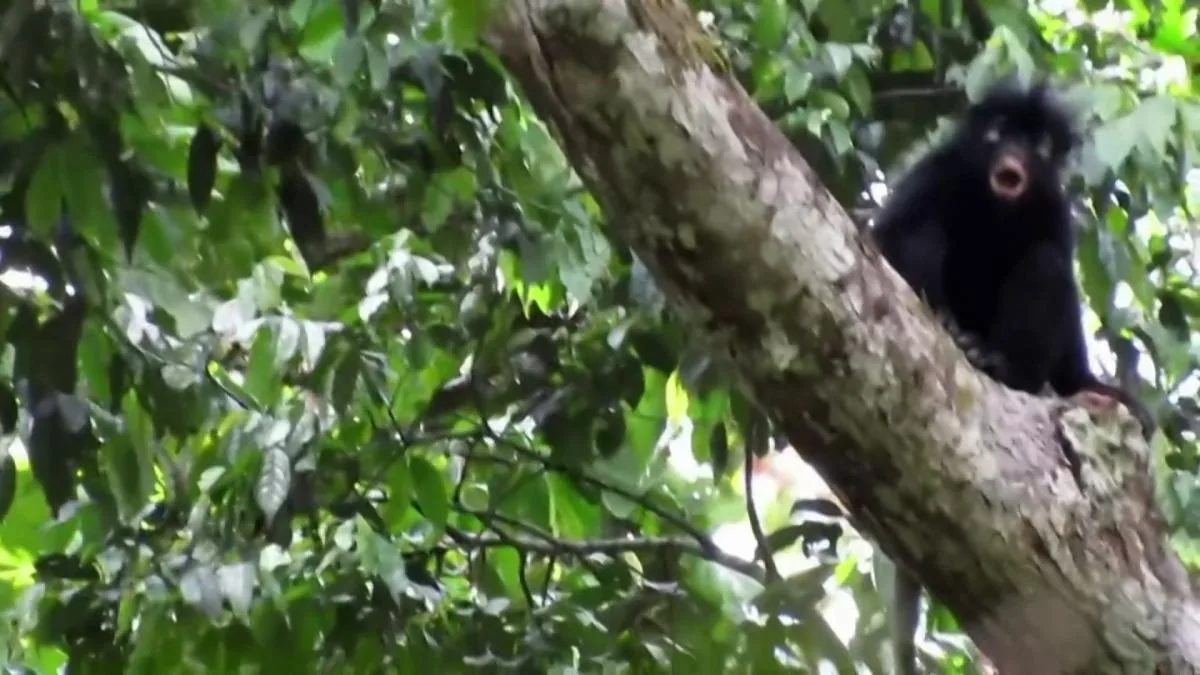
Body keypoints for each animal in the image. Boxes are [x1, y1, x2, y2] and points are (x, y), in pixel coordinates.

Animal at [867, 76, 1155, 674]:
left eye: (1038, 145)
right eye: (1000, 133)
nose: (1015, 158)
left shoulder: (1053, 209)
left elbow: (1065, 336)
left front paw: (1090, 385)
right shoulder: (936, 170)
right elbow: (890, 235)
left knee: (1044, 264)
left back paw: (997, 364)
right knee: (924, 231)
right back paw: (952, 330)